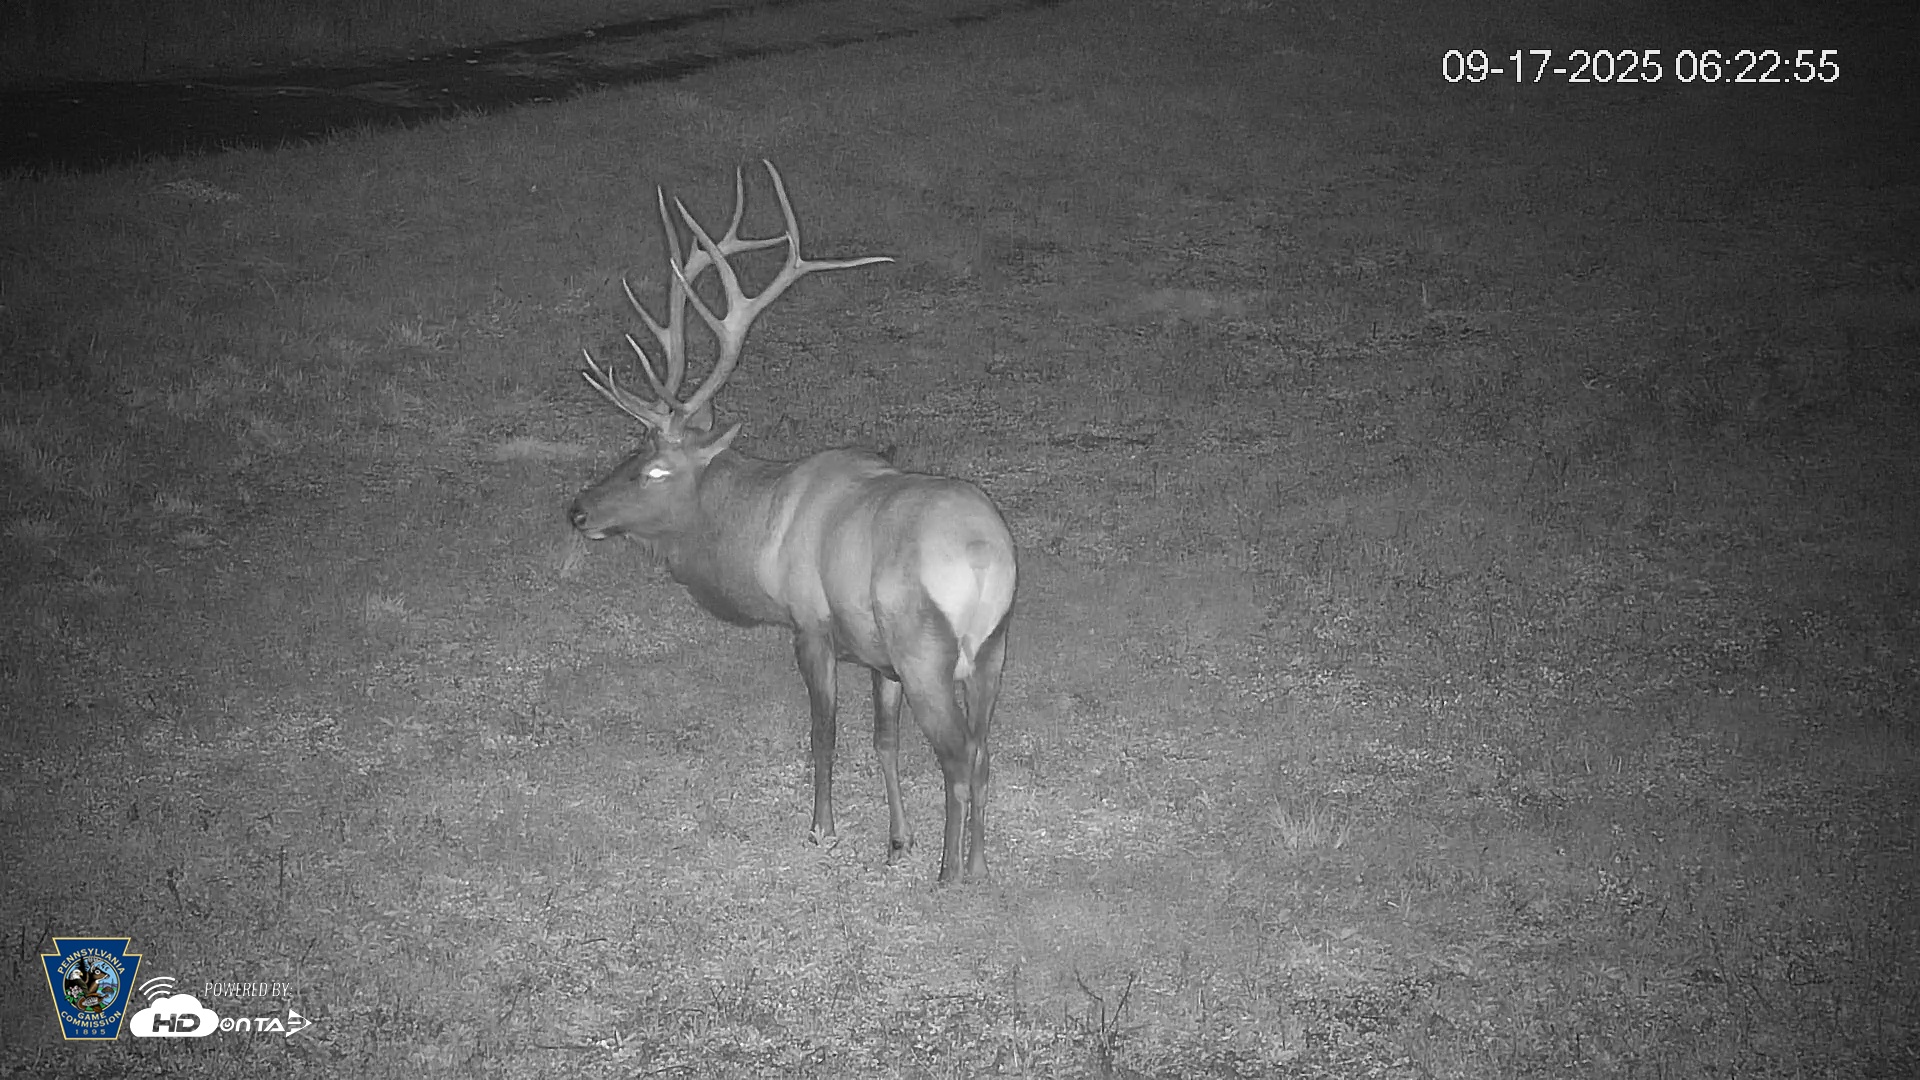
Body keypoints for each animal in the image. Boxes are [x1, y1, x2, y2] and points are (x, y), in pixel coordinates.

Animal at [568, 161, 1016, 884]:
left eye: (654, 470)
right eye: (629, 452)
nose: (578, 510)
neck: (755, 539)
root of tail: (986, 560)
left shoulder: (811, 625)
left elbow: (824, 734)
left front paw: (822, 830)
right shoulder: (878, 658)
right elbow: (882, 741)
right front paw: (897, 839)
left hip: (928, 651)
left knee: (955, 759)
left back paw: (950, 874)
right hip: (993, 650)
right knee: (982, 753)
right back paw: (976, 862)